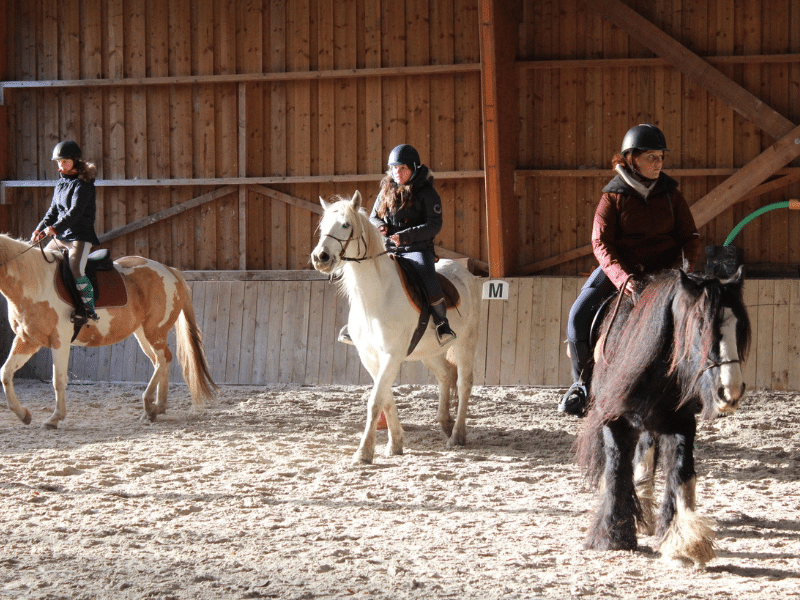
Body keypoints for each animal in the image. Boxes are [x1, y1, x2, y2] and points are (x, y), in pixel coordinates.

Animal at [0, 233, 217, 426]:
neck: (34, 283)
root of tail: (169, 270)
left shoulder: (59, 341)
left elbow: (58, 380)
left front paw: (54, 418)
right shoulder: (27, 340)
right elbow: (6, 373)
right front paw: (24, 415)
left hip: (154, 331)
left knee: (163, 359)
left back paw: (150, 405)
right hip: (143, 333)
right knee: (160, 361)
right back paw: (156, 408)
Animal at [310, 191, 482, 464]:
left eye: (346, 225)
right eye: (323, 226)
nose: (320, 257)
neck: (376, 296)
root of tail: (464, 273)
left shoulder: (391, 356)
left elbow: (376, 401)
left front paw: (364, 452)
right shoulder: (370, 357)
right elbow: (386, 399)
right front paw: (395, 444)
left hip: (466, 342)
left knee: (464, 383)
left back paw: (457, 435)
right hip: (428, 351)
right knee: (445, 374)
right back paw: (445, 423)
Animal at [576, 270, 752, 564]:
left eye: (739, 328)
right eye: (700, 325)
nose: (731, 392)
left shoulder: (680, 423)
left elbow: (681, 473)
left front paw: (682, 541)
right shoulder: (613, 420)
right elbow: (616, 470)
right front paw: (612, 536)